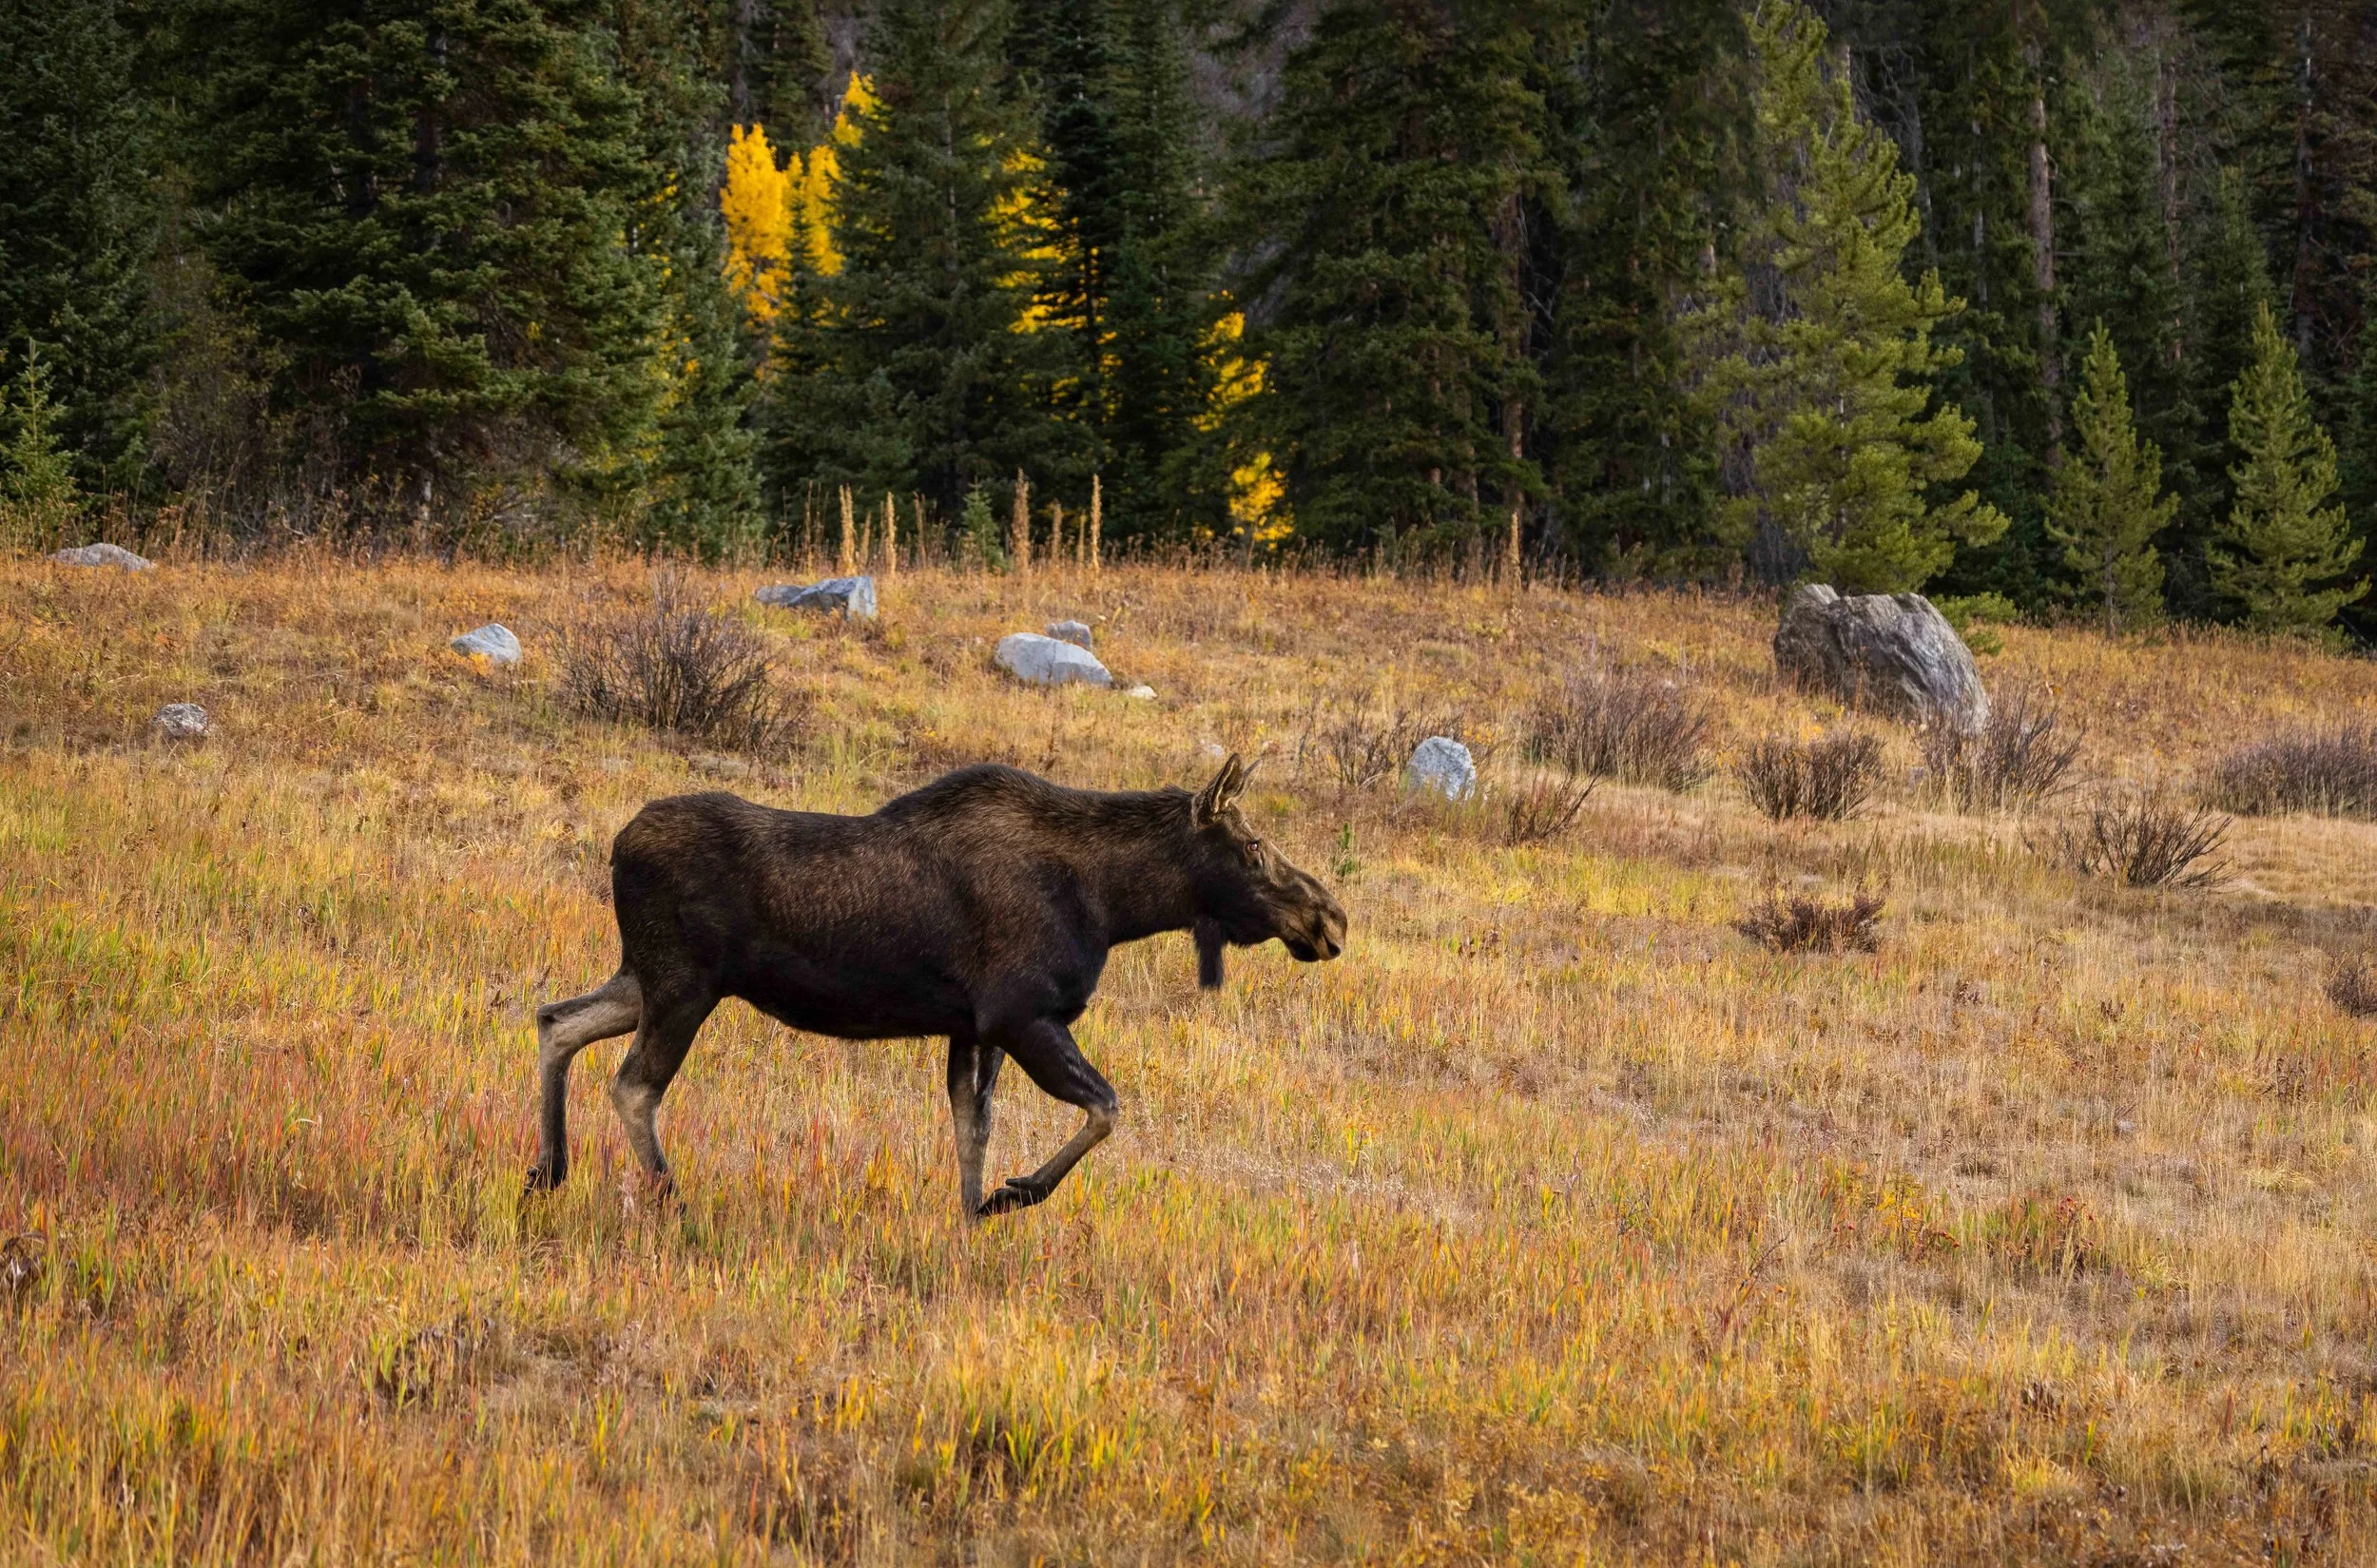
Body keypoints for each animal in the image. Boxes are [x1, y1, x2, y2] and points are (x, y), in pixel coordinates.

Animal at [527, 755, 1346, 1219]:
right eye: (1252, 847)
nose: (1328, 916)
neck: (1116, 904)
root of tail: (617, 846)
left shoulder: (971, 1027)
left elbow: (970, 1131)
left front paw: (967, 1219)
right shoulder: (1022, 1013)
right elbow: (1106, 1108)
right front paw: (1011, 1196)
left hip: (646, 976)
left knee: (556, 1019)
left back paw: (549, 1168)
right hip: (684, 984)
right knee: (633, 1085)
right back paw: (675, 1204)